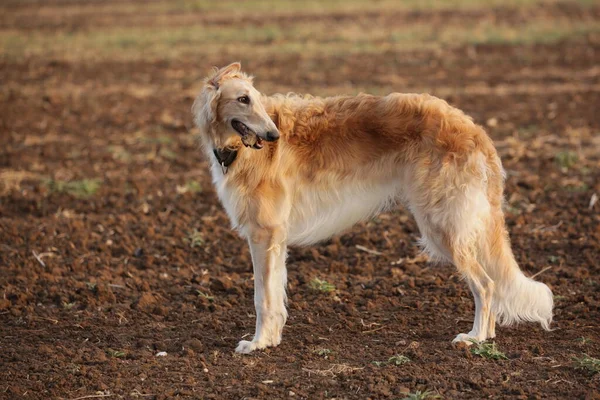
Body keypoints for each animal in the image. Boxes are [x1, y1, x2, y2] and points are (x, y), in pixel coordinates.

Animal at [192, 62, 552, 354]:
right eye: (243, 99)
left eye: (255, 98)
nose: (273, 135)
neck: (238, 150)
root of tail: (476, 130)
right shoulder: (275, 239)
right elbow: (275, 295)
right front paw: (271, 339)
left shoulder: (263, 234)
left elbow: (261, 297)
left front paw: (257, 344)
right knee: (490, 284)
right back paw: (486, 336)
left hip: (442, 226)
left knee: (486, 284)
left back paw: (474, 338)